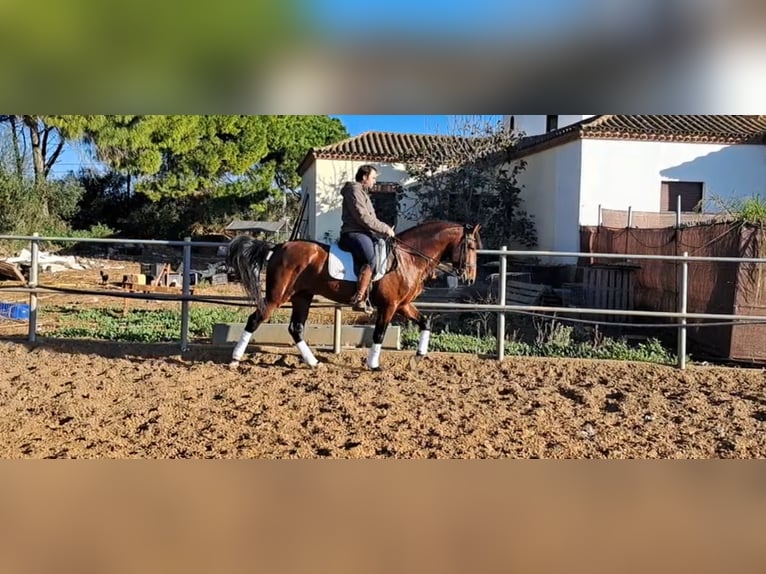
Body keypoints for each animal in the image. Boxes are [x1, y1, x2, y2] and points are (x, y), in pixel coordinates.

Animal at [225, 220, 484, 374]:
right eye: (471, 247)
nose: (470, 278)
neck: (409, 257)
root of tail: (278, 247)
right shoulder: (389, 306)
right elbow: (379, 334)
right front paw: (374, 365)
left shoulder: (403, 304)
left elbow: (425, 322)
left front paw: (418, 357)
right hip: (277, 297)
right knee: (255, 319)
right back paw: (235, 359)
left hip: (302, 297)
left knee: (295, 328)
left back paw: (313, 363)